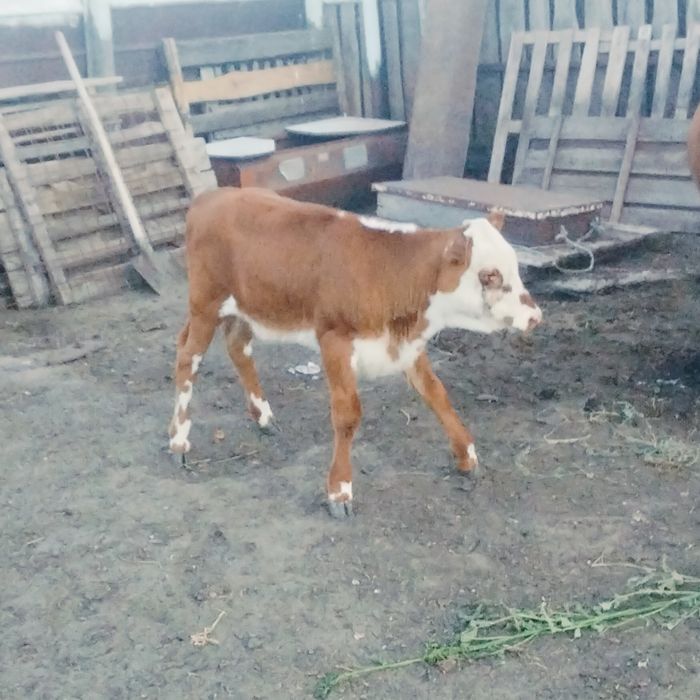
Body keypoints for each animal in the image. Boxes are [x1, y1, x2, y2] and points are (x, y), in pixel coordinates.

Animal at [168, 187, 542, 518]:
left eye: (515, 267)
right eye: (489, 275)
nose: (535, 316)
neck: (390, 273)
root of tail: (211, 197)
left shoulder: (405, 345)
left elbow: (437, 395)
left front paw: (467, 456)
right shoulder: (334, 339)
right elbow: (347, 416)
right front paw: (340, 491)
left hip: (249, 306)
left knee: (237, 346)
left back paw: (263, 417)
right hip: (205, 303)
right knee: (188, 359)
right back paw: (178, 441)